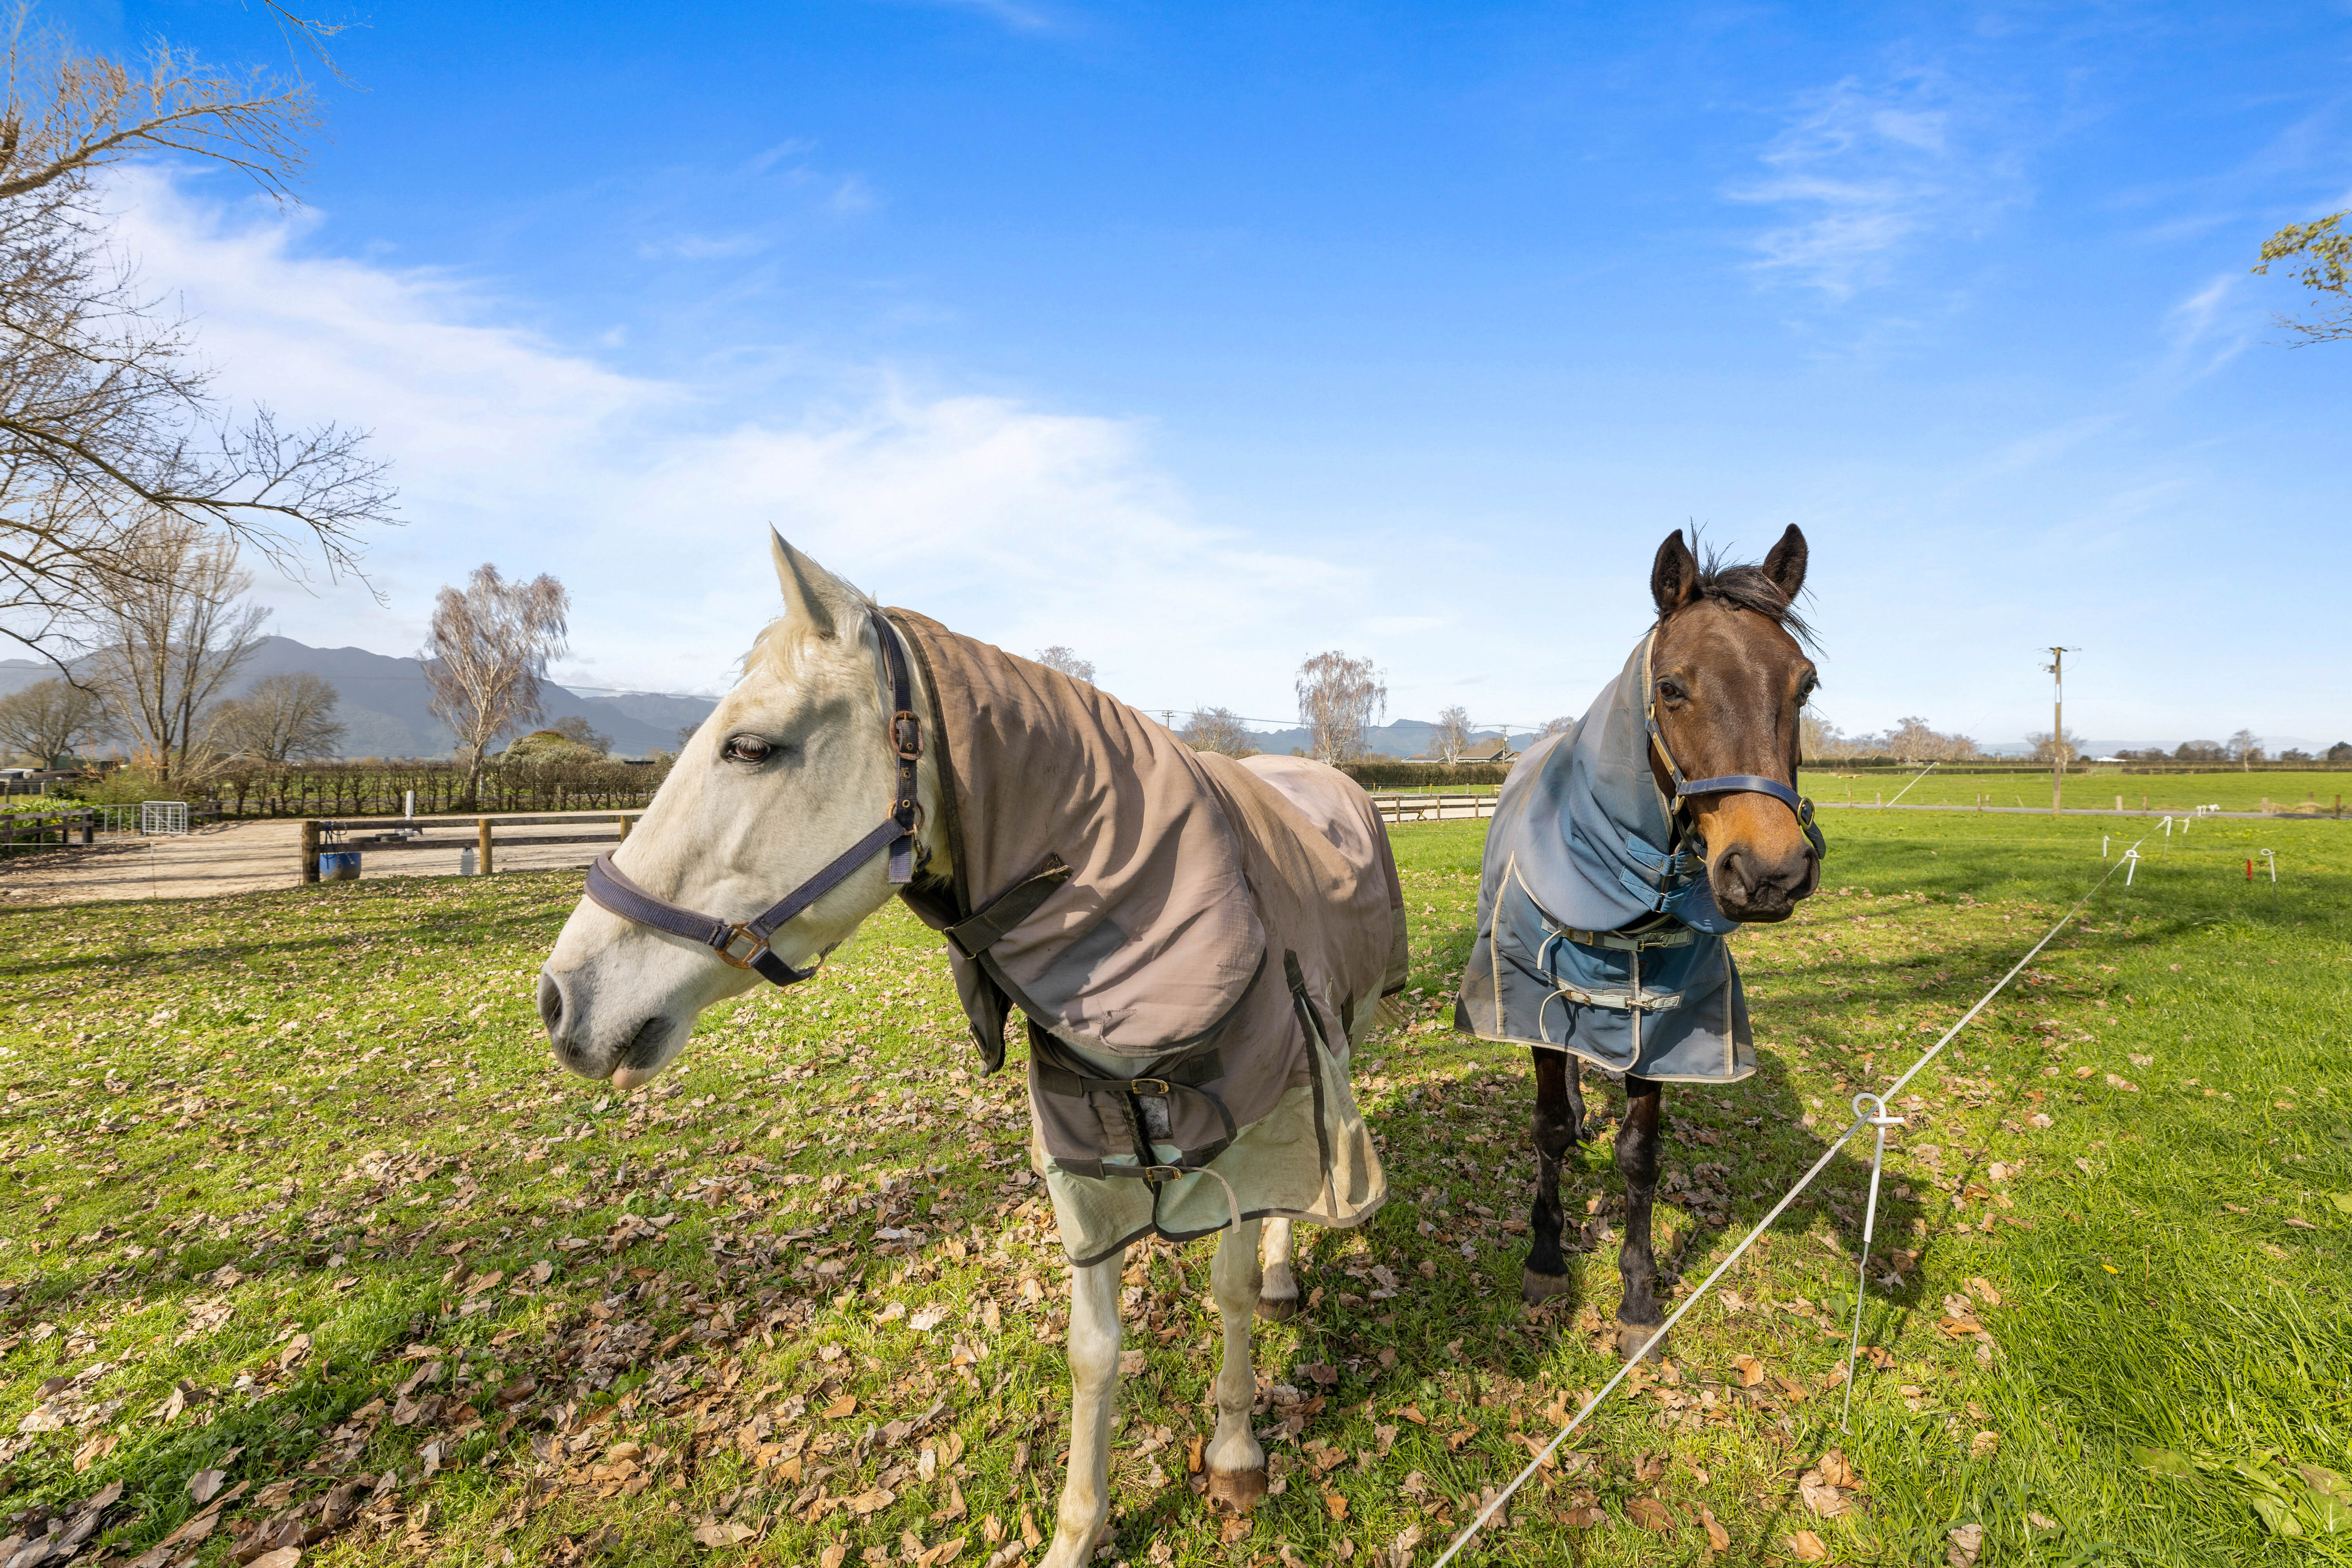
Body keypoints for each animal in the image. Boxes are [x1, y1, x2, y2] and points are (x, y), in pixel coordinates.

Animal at [541, 534, 1402, 1561]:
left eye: (750, 746)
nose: (562, 996)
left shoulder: (1241, 1129)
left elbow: (1227, 1289)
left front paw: (1235, 1449)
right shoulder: (1082, 1162)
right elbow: (1093, 1351)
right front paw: (1078, 1530)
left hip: (1329, 1049)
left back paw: (1280, 1269)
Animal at [1458, 526, 1825, 1363]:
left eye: (1805, 685)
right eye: (1672, 687)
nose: (1771, 872)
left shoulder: (1656, 1026)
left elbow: (1639, 1157)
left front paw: (1637, 1298)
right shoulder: (1537, 1006)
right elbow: (1548, 1130)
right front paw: (1547, 1261)